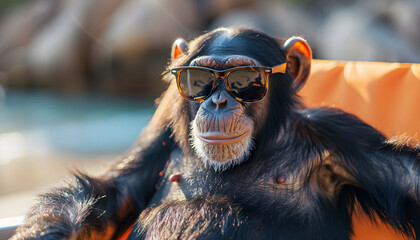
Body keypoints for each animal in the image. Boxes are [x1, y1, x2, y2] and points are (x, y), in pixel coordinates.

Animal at [10, 27, 420, 239]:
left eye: (244, 79)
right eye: (199, 79)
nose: (218, 101)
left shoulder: (341, 138)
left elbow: (407, 176)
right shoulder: (162, 132)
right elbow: (112, 189)